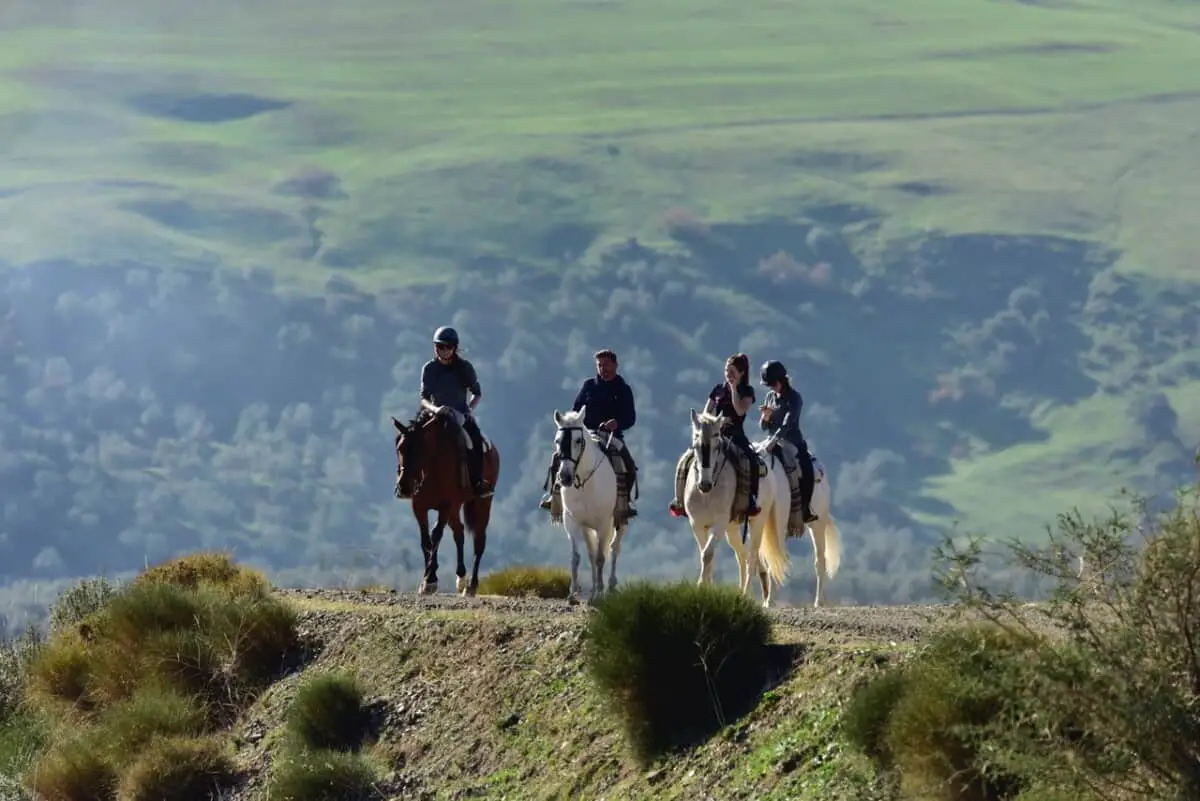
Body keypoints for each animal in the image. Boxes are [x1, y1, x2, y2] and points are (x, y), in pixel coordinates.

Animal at [391, 412, 499, 594]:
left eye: (419, 449)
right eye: (400, 449)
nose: (404, 487)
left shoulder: (445, 505)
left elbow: (436, 535)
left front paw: (430, 579)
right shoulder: (419, 507)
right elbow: (425, 541)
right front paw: (427, 578)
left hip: (481, 503)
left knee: (479, 540)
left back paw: (471, 585)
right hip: (455, 508)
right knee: (459, 532)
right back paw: (461, 577)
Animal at [549, 402, 628, 604]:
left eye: (578, 440)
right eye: (557, 440)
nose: (565, 477)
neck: (586, 483)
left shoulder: (603, 524)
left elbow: (601, 557)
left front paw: (599, 594)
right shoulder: (572, 521)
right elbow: (576, 557)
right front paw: (572, 594)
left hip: (619, 522)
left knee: (614, 549)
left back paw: (609, 587)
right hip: (587, 527)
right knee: (592, 554)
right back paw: (593, 590)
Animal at [681, 412, 792, 606]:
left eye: (717, 446)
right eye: (695, 445)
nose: (705, 484)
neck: (707, 495)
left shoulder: (719, 524)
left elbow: (708, 554)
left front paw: (701, 586)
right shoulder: (697, 524)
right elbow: (705, 554)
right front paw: (706, 587)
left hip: (762, 522)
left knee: (756, 556)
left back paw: (754, 596)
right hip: (732, 528)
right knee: (742, 555)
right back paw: (743, 592)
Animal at [748, 429, 844, 604]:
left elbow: (773, 558)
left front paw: (769, 600)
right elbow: (763, 560)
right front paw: (767, 599)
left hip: (817, 524)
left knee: (820, 560)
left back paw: (818, 601)